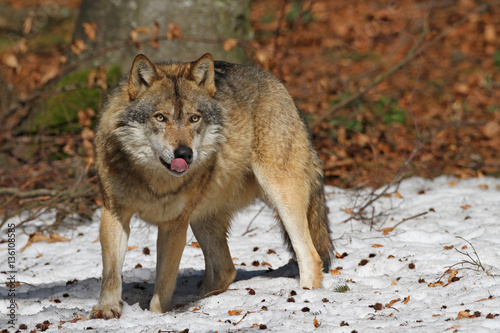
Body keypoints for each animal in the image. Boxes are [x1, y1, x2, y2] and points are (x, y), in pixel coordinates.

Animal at [90, 53, 334, 318]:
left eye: (194, 118)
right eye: (160, 117)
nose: (184, 154)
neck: (154, 180)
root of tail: (282, 89)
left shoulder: (174, 224)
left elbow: (164, 282)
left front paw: (157, 316)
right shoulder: (114, 212)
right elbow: (111, 273)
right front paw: (107, 309)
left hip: (281, 195)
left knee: (310, 255)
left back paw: (306, 296)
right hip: (203, 219)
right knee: (226, 269)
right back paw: (200, 299)